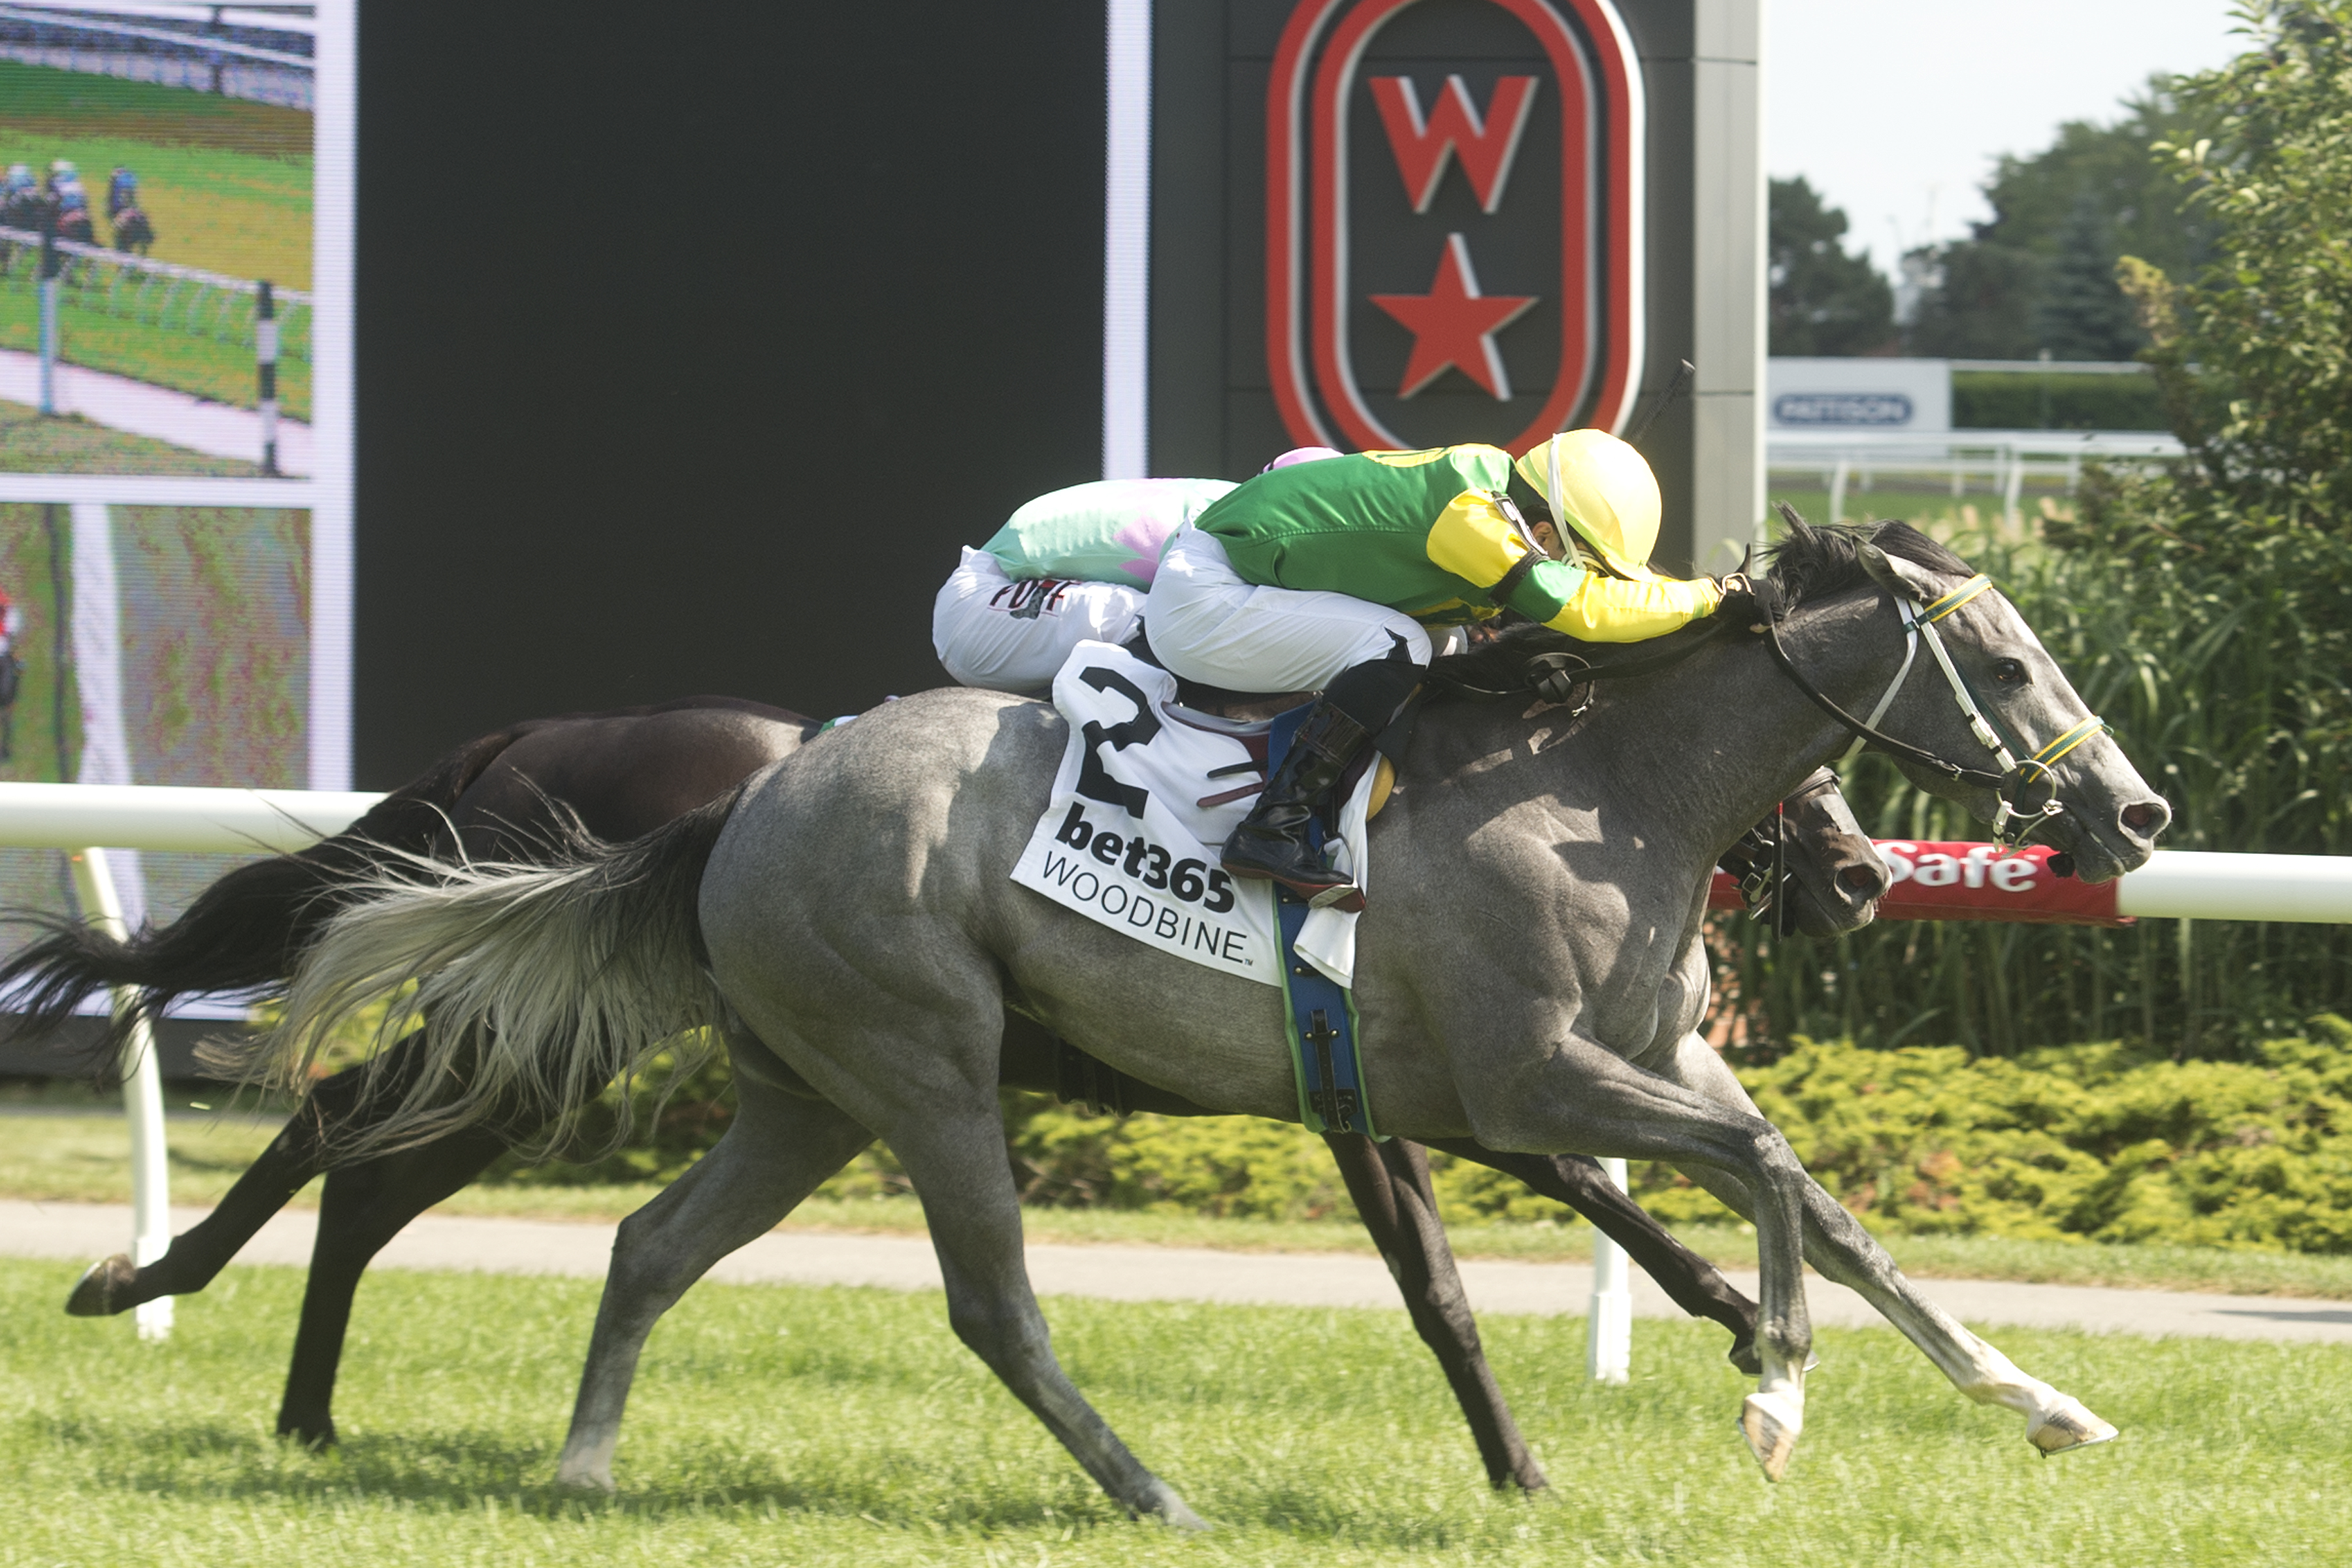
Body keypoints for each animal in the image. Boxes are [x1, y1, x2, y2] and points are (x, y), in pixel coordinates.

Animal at [243, 524, 2164, 1523]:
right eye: (2006, 666)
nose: (2134, 816)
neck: (1597, 785)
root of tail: (752, 799)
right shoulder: (1523, 1076)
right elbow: (1758, 1174)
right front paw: (1769, 1391)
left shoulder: (1631, 1059)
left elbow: (1822, 1205)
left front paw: (2040, 1397)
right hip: (926, 1066)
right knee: (990, 1302)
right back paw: (1154, 1490)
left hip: (811, 1087)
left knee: (650, 1242)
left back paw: (581, 1464)